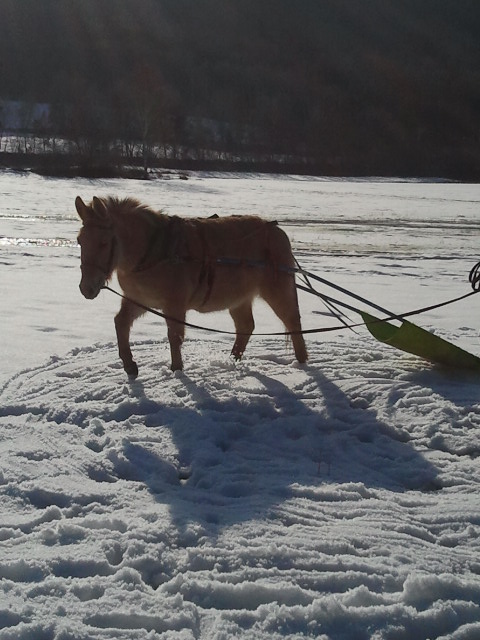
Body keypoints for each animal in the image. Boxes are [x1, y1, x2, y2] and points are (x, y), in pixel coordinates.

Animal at [75, 196, 308, 376]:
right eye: (80, 241)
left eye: (104, 242)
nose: (86, 288)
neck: (153, 252)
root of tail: (276, 229)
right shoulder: (139, 299)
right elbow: (121, 323)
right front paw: (130, 365)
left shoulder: (174, 305)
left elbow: (174, 336)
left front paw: (177, 369)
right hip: (239, 298)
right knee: (246, 327)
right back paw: (232, 359)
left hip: (278, 289)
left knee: (292, 321)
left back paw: (302, 362)